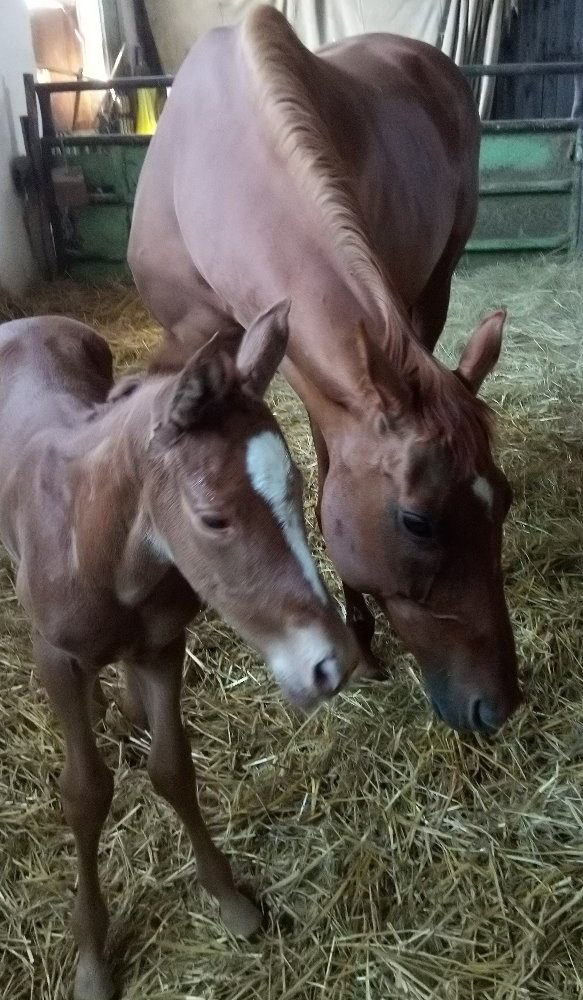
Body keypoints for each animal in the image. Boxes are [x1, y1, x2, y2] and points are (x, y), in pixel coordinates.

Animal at [0, 304, 356, 1000]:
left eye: (297, 485)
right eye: (213, 518)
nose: (331, 663)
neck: (101, 544)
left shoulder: (163, 645)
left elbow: (172, 768)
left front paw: (230, 900)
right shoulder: (55, 656)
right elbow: (84, 793)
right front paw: (91, 957)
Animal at [130, 3, 524, 732]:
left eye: (503, 501)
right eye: (417, 522)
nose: (497, 704)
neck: (214, 160)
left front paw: (358, 638)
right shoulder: (194, 338)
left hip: (434, 284)